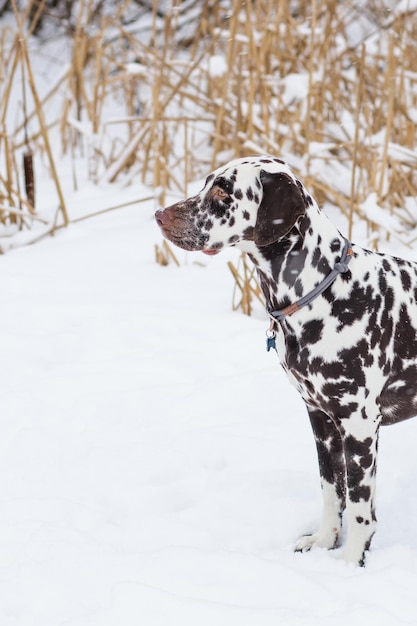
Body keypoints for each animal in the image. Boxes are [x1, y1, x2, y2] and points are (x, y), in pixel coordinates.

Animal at [154, 156, 417, 564]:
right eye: (206, 183)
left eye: (224, 191)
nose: (159, 215)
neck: (326, 291)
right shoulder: (321, 420)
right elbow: (332, 492)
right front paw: (324, 543)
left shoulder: (358, 425)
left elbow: (360, 509)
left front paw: (349, 563)